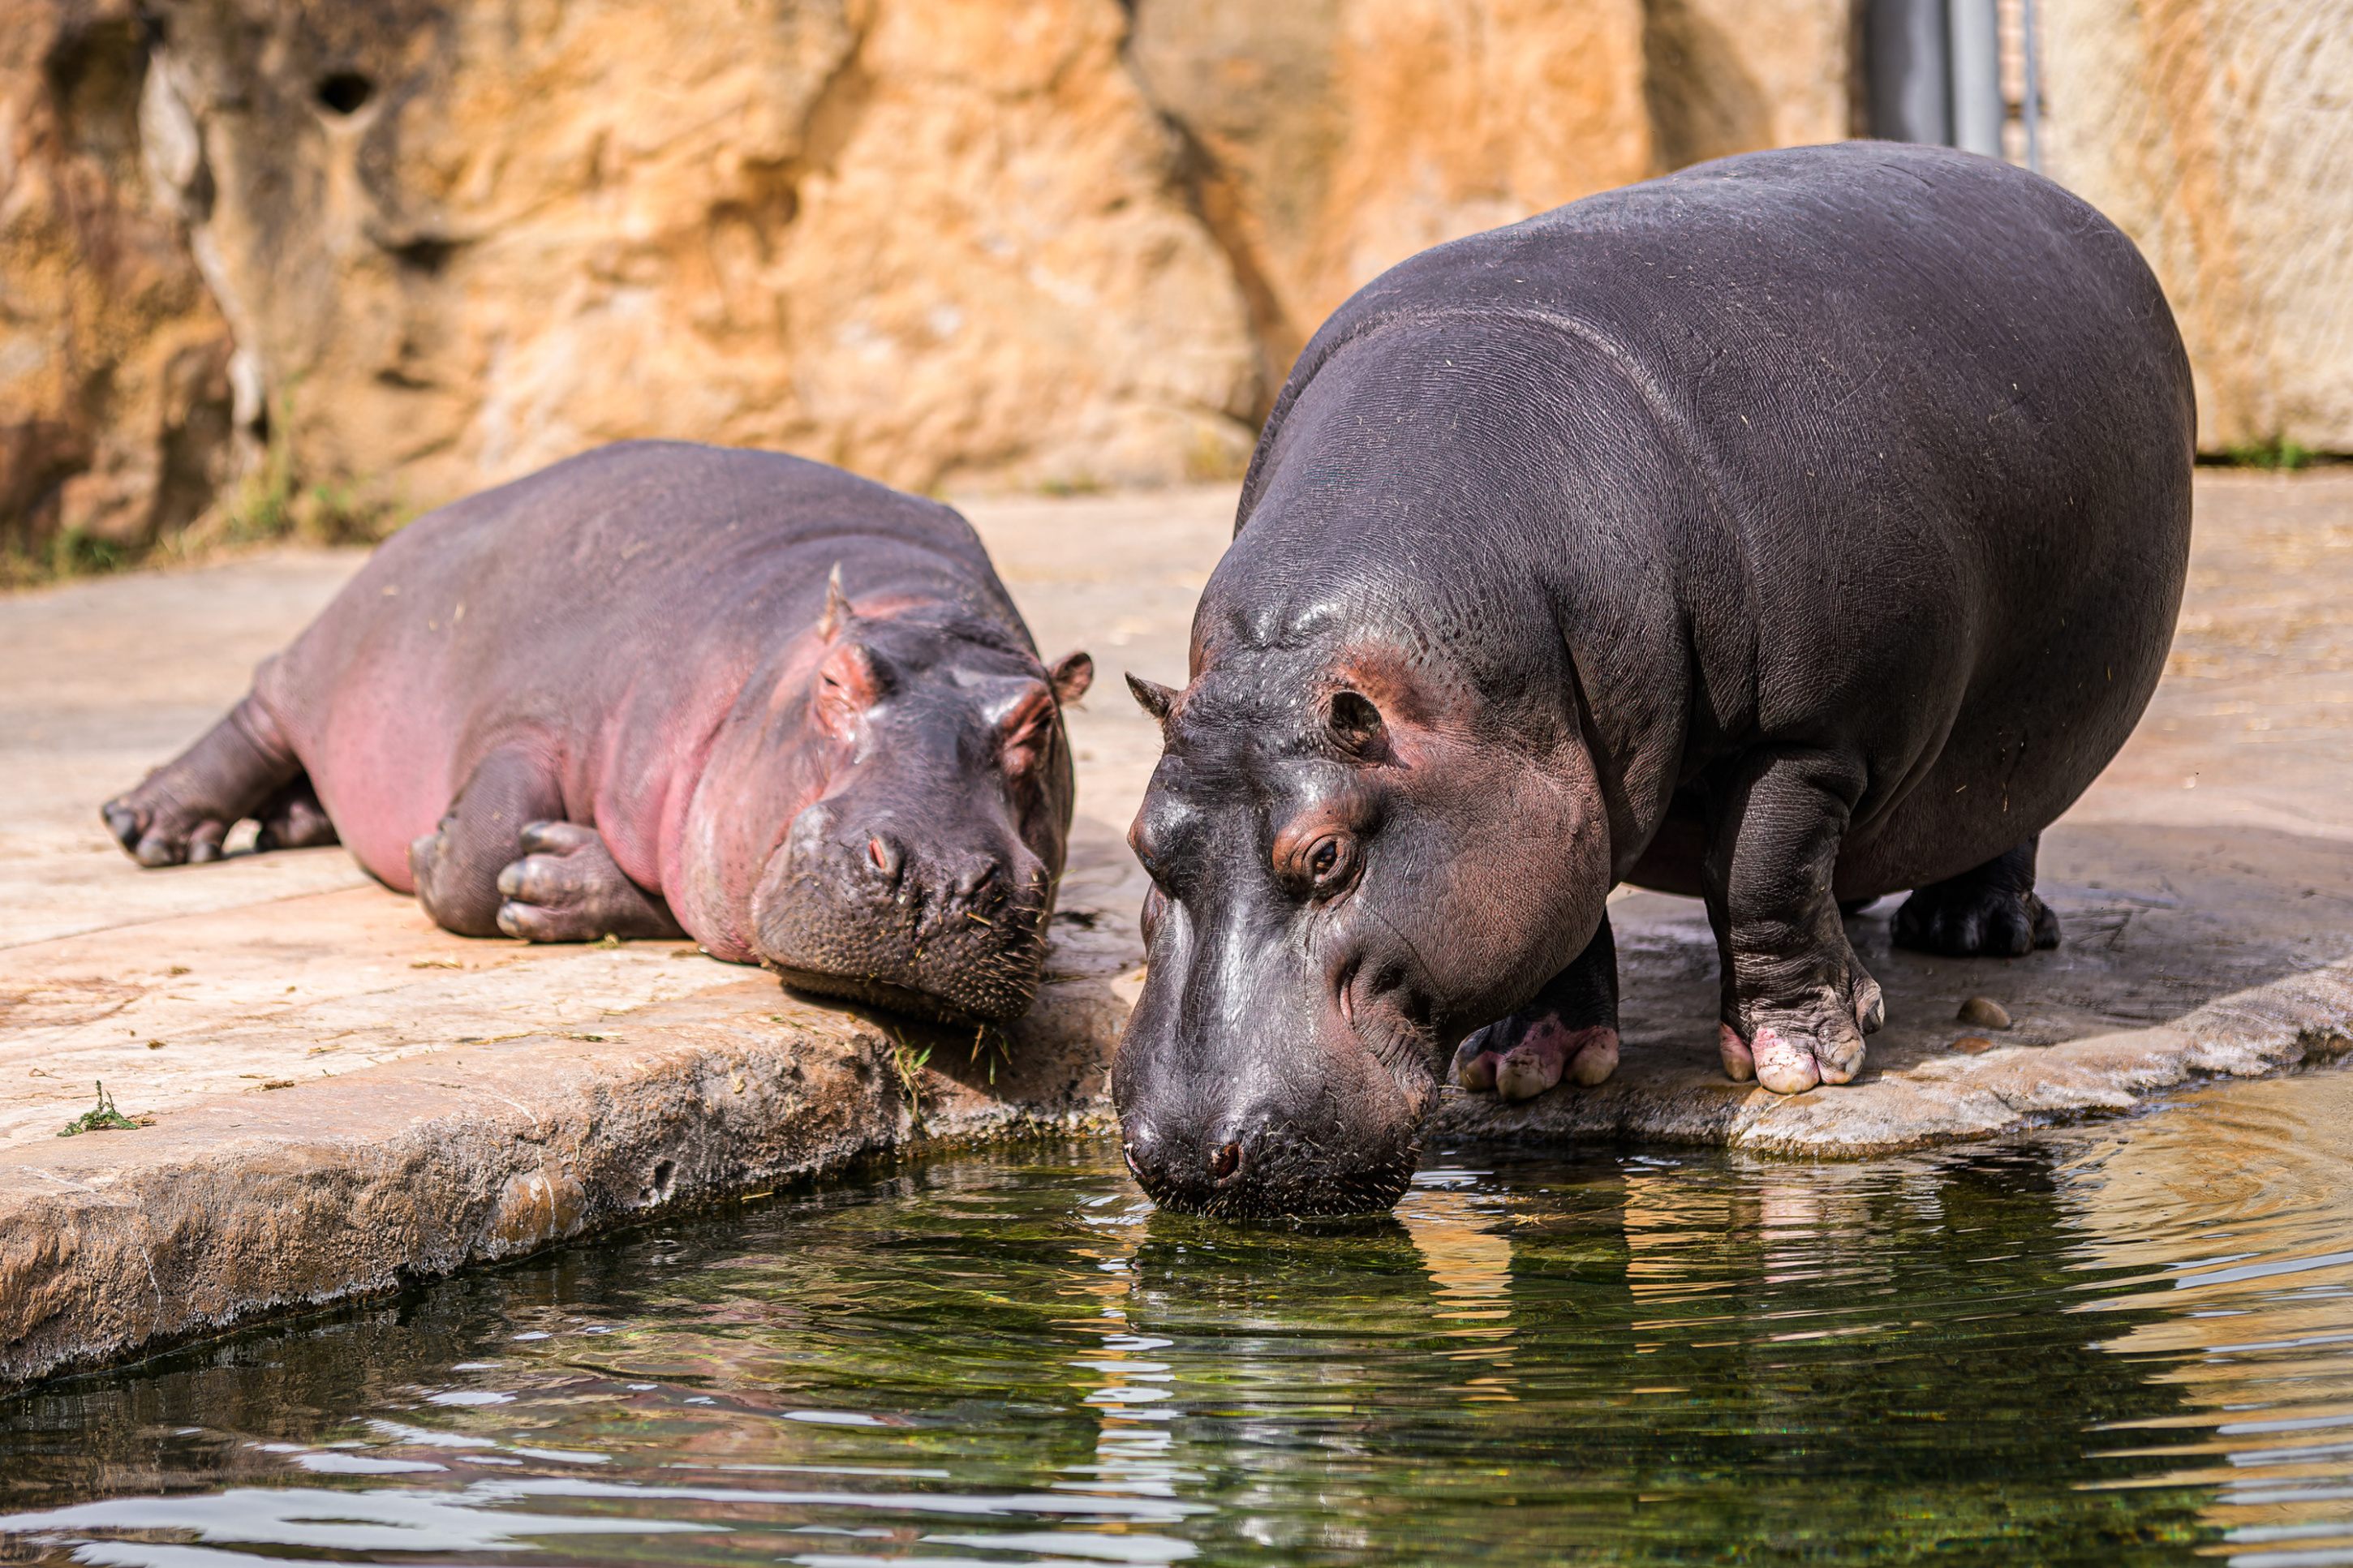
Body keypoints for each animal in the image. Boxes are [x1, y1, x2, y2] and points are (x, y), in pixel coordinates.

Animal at [105, 441, 1096, 1029]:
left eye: (1040, 722)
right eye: (835, 680)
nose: (934, 878)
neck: (917, 608)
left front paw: (549, 885)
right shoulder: (545, 708)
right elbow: (475, 856)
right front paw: (439, 851)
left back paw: (296, 822)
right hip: (327, 658)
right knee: (255, 715)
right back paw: (152, 828)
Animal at [1110, 144, 2192, 1213]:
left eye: (1327, 855)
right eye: (1140, 845)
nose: (1186, 1152)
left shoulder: (1810, 734)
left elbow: (1756, 874)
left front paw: (1802, 1061)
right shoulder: (1556, 776)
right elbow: (1570, 904)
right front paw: (1530, 1062)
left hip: (2033, 714)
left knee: (1997, 811)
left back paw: (1970, 930)